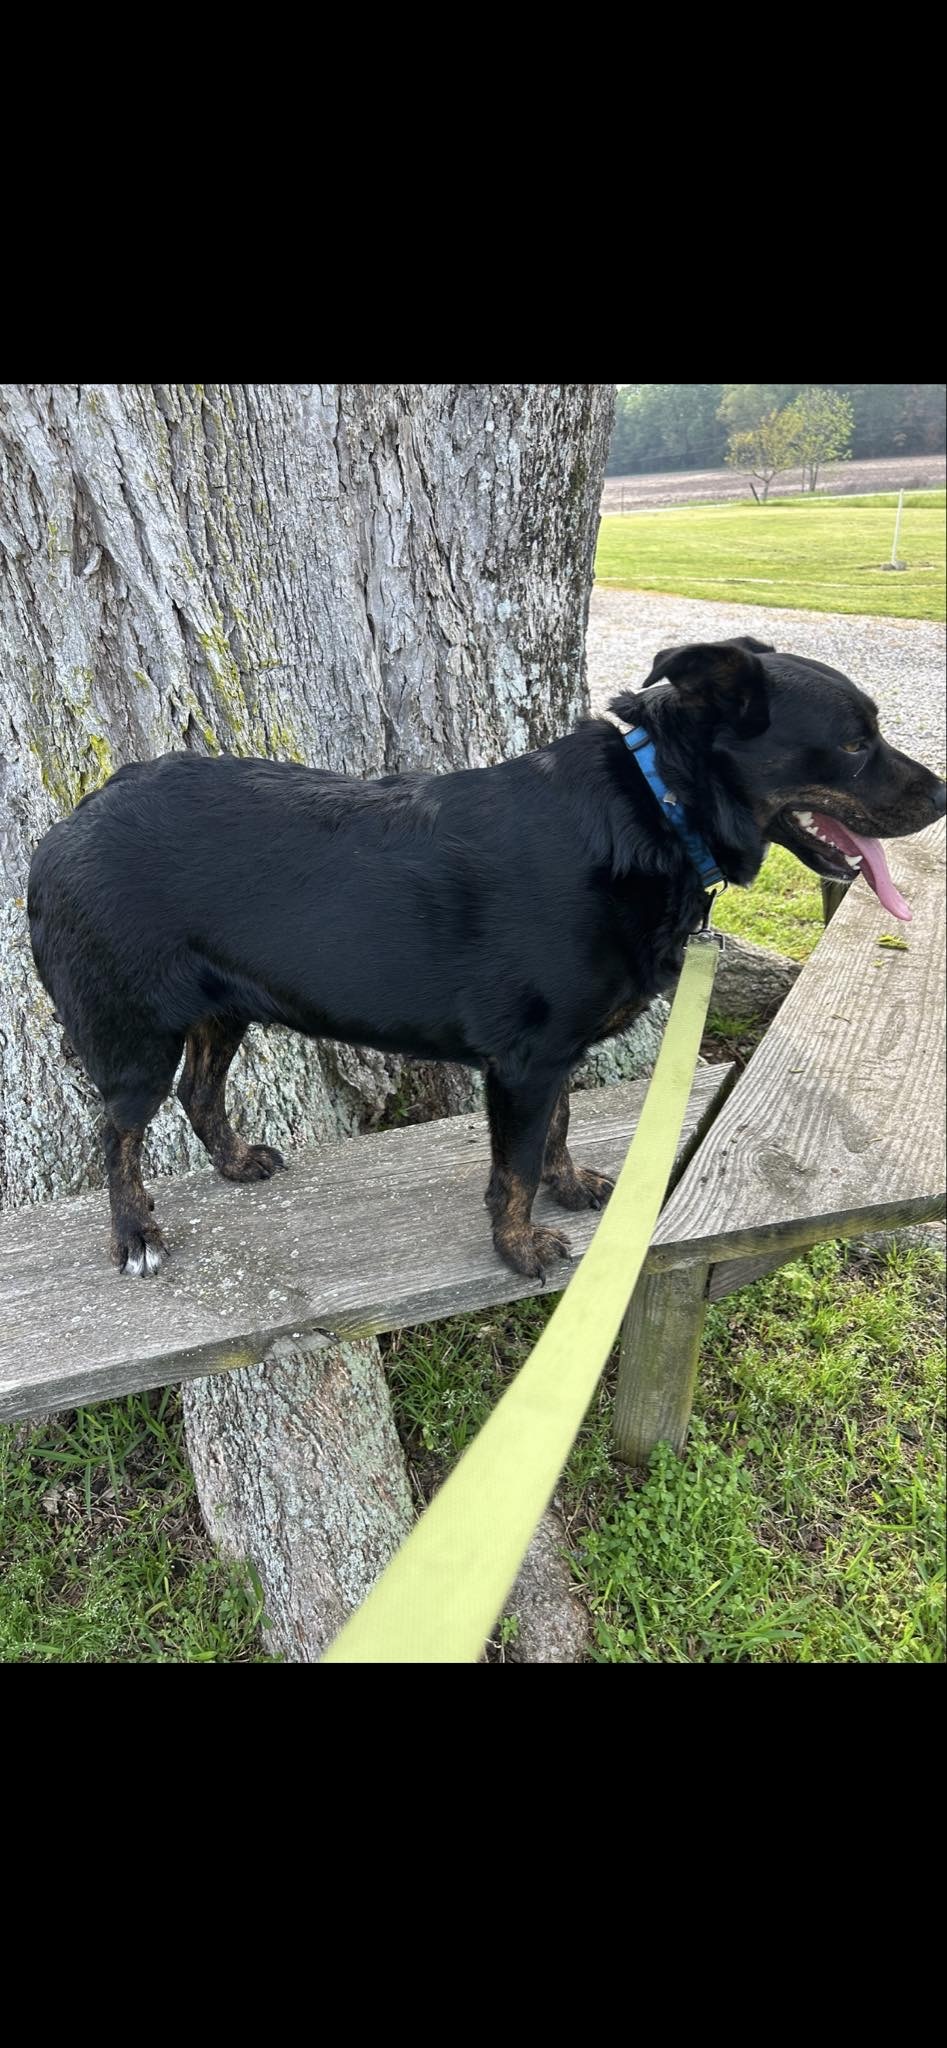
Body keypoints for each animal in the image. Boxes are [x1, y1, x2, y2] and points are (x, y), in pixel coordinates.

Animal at [25, 638, 942, 1277]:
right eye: (854, 743)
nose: (942, 794)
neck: (654, 806)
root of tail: (71, 822)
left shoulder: (553, 1057)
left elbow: (556, 1133)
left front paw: (568, 1188)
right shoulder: (524, 1063)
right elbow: (513, 1169)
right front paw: (519, 1246)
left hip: (221, 1011)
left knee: (197, 1094)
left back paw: (234, 1161)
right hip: (134, 1035)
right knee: (116, 1135)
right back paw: (135, 1232)